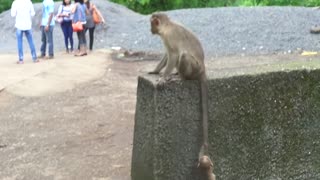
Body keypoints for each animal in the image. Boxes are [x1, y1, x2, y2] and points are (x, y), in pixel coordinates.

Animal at [149, 11, 216, 179]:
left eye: (152, 23)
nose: (150, 29)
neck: (167, 26)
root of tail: (203, 68)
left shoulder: (169, 36)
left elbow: (173, 56)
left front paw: (163, 78)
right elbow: (166, 56)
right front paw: (155, 71)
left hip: (195, 68)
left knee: (183, 56)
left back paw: (181, 77)